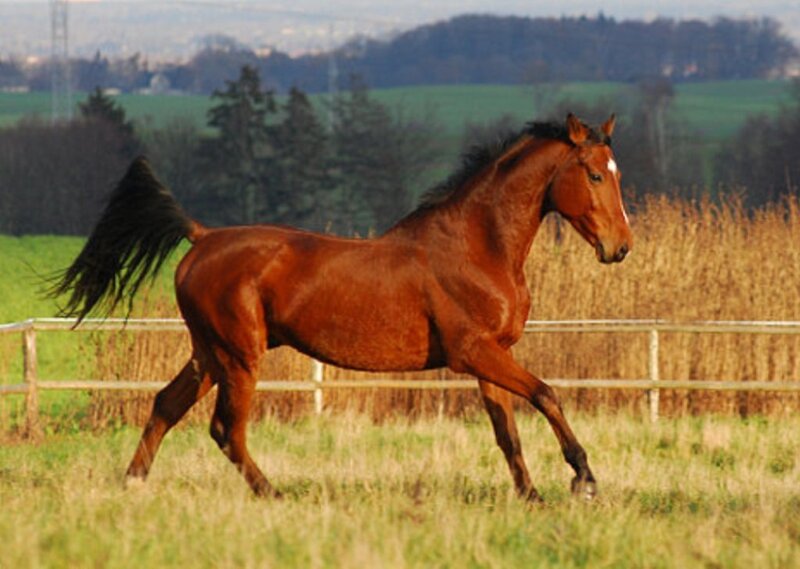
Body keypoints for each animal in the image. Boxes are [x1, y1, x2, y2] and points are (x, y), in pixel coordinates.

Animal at [52, 113, 632, 502]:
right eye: (594, 174)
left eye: (617, 172)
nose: (620, 247)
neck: (476, 246)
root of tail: (202, 237)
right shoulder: (474, 353)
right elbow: (547, 394)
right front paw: (584, 479)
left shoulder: (492, 356)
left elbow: (506, 431)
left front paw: (531, 495)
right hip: (239, 357)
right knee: (225, 429)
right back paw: (272, 494)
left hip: (209, 354)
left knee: (166, 406)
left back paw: (133, 484)